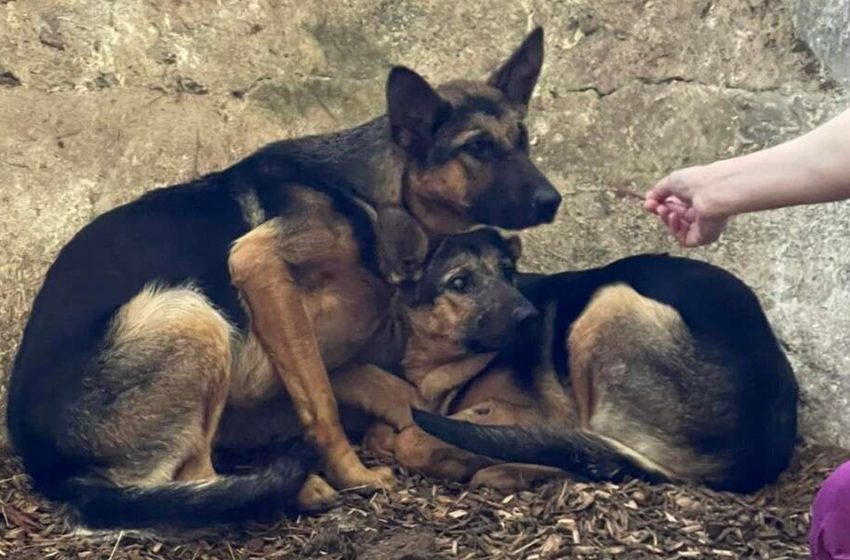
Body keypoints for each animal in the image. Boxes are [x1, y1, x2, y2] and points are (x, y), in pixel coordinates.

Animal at [370, 232, 796, 494]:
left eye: (508, 272)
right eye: (460, 282)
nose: (531, 316)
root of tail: (759, 452)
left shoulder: (534, 411)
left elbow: (413, 440)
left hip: (609, 303)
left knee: (593, 454)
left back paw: (504, 470)